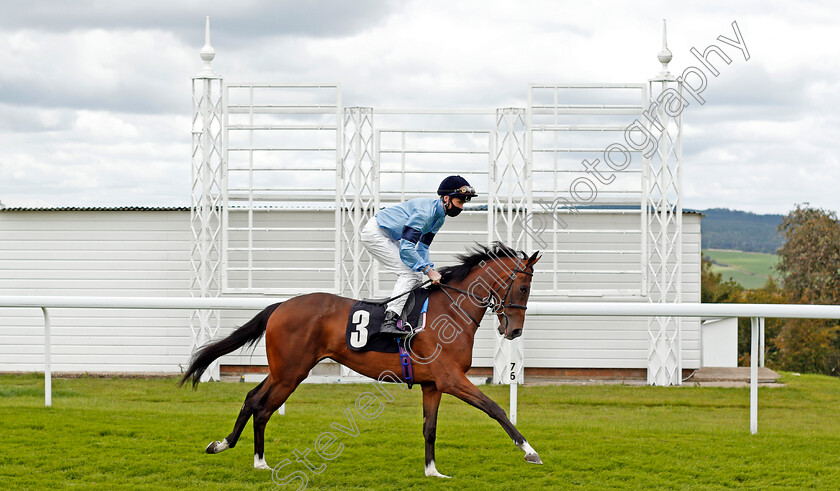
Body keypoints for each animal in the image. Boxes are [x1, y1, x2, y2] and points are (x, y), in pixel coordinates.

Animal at [180, 244, 540, 478]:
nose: (514, 330)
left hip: (285, 370)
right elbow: (495, 409)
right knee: (261, 405)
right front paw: (529, 451)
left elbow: (430, 428)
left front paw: (432, 471)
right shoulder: (451, 379)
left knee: (255, 400)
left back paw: (241, 453)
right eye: (523, 287)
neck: (449, 311)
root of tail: (281, 305)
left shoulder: (433, 384)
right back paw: (242, 454)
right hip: (290, 372)